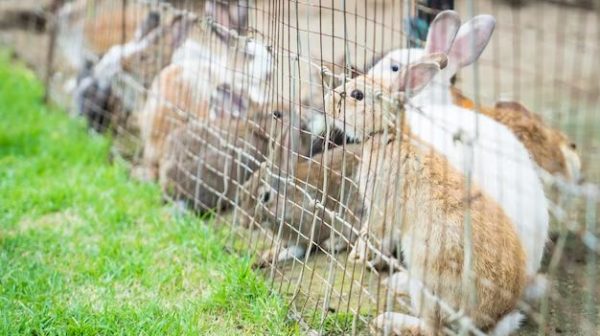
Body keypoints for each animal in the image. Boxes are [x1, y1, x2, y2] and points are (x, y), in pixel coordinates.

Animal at [316, 65, 528, 334]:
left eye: (357, 94)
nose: (326, 102)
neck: (388, 134)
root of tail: (491, 320)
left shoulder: (381, 208)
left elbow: (373, 233)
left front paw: (359, 256)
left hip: (428, 277)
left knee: (432, 328)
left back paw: (387, 320)